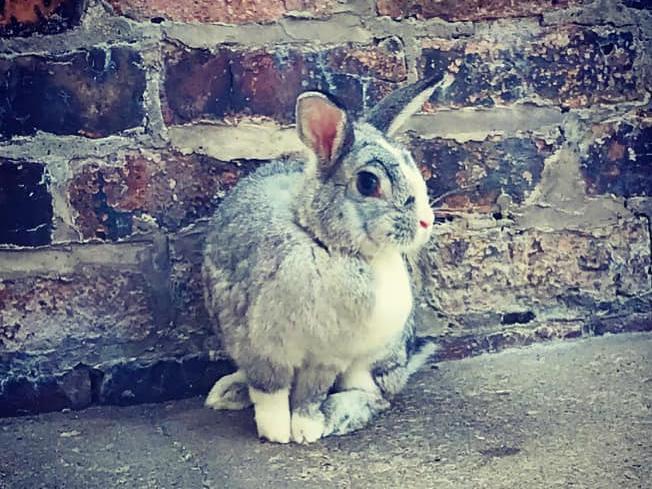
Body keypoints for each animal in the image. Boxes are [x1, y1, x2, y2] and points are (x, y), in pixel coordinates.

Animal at [202, 73, 452, 444]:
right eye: (368, 183)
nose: (426, 222)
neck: (323, 243)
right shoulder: (259, 347)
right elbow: (270, 392)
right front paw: (276, 433)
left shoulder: (328, 357)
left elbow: (310, 395)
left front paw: (306, 430)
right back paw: (227, 393)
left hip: (375, 357)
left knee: (375, 396)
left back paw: (339, 414)